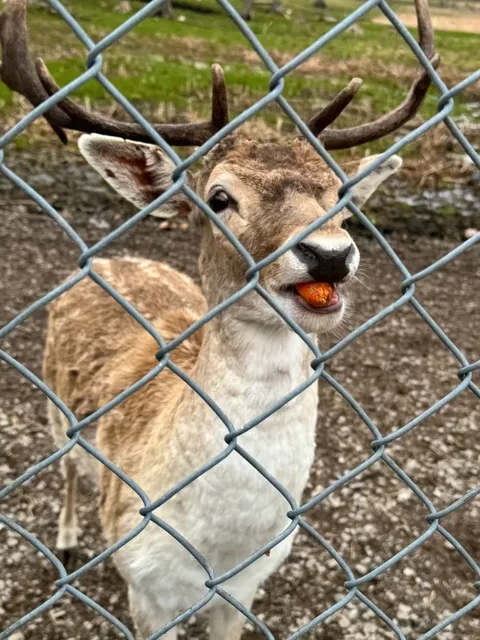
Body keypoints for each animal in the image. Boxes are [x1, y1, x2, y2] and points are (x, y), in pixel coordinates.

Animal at [0, 0, 437, 637]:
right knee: (68, 469)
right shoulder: (143, 589)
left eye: (340, 196)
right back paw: (66, 537)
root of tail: (106, 257)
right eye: (218, 198)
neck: (217, 551)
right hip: (56, 409)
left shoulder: (246, 588)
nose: (329, 255)